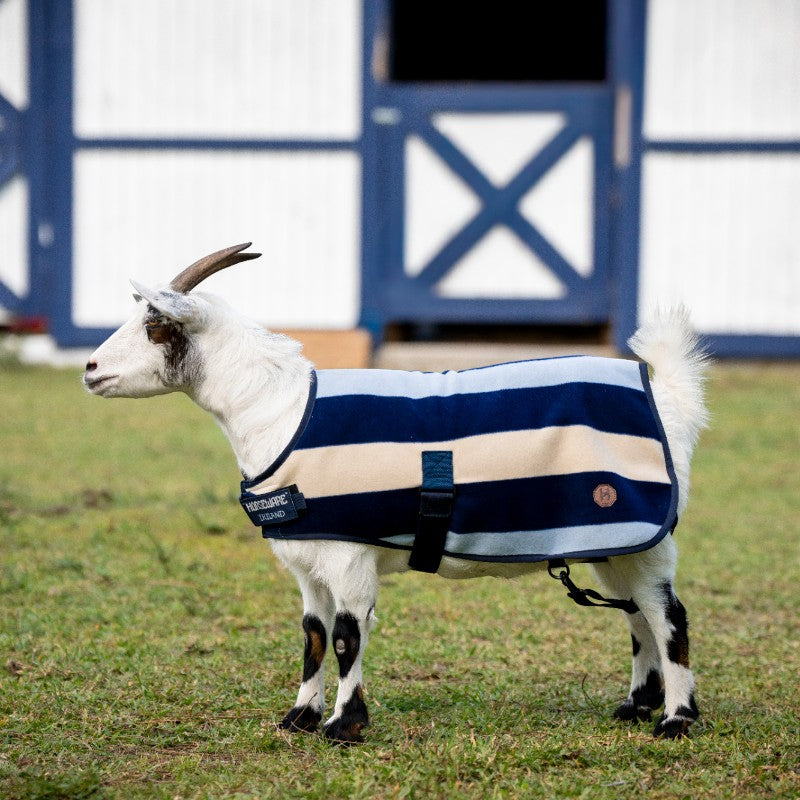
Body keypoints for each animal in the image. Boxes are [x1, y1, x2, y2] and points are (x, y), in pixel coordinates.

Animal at [83, 243, 708, 744]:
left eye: (155, 326)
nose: (89, 369)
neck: (282, 411)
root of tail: (669, 402)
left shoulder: (349, 555)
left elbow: (346, 638)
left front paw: (344, 726)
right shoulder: (309, 562)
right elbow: (312, 637)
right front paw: (299, 718)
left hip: (644, 537)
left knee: (668, 616)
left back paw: (675, 719)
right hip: (614, 543)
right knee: (637, 616)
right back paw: (636, 705)